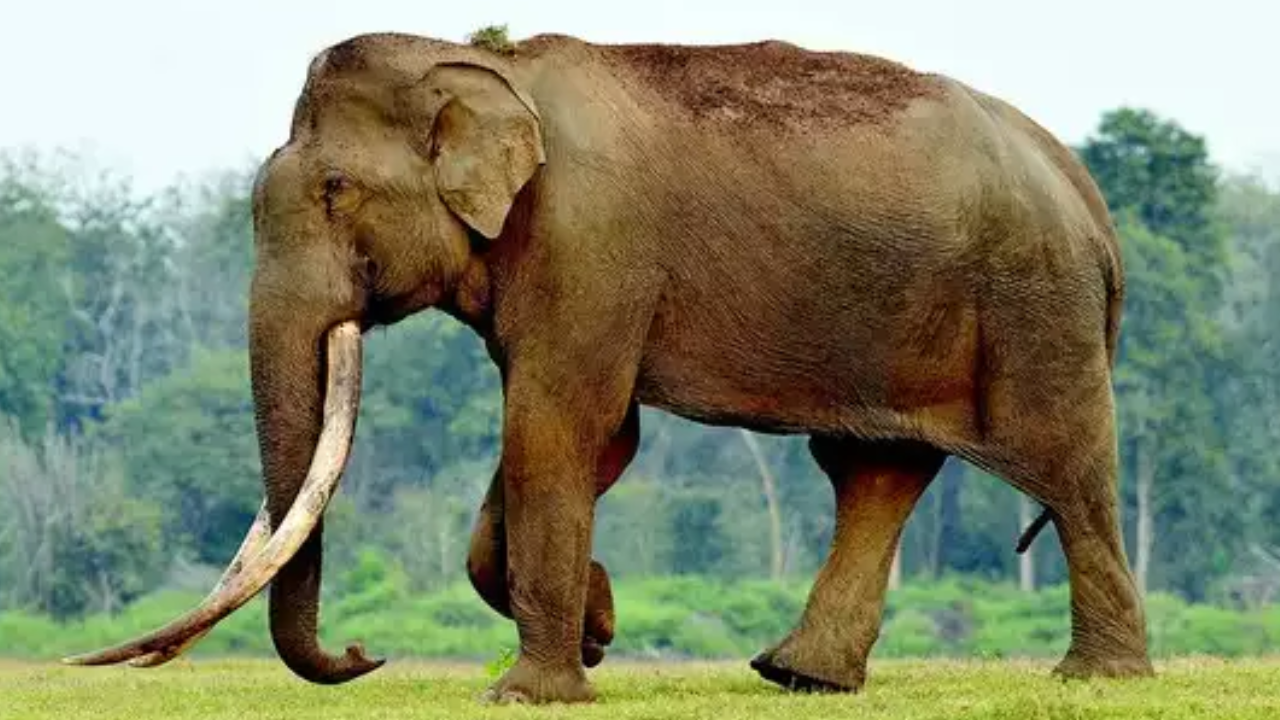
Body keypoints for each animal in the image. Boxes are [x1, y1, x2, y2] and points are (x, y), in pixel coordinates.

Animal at [66, 31, 1154, 703]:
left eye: (334, 189)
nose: (365, 652)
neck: (485, 65)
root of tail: (1082, 187)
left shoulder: (587, 242)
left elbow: (556, 425)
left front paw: (528, 691)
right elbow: (586, 438)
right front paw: (593, 627)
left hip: (1031, 304)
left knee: (1064, 466)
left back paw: (1097, 680)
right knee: (871, 469)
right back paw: (797, 676)